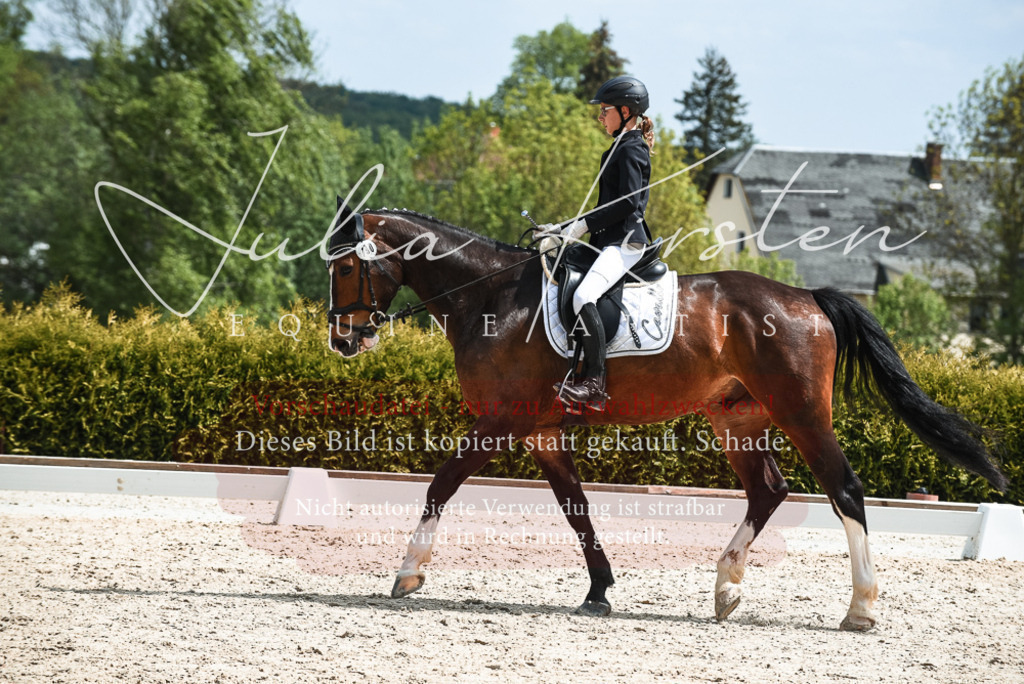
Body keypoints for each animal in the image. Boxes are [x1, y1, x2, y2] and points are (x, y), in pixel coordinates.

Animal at [324, 202, 1007, 631]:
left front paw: (407, 573)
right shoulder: (542, 432)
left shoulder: (501, 421)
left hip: (801, 412)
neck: (491, 298)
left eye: (348, 265)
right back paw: (727, 588)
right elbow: (576, 509)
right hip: (738, 419)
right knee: (769, 490)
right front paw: (599, 591)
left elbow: (440, 485)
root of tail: (807, 298)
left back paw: (860, 609)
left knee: (845, 491)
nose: (342, 340)